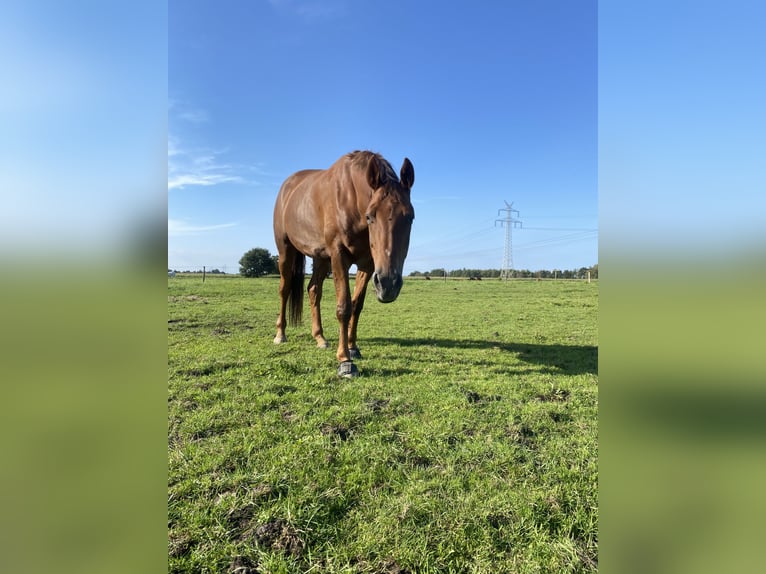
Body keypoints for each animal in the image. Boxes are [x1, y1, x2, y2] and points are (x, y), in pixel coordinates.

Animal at [270, 151, 414, 380]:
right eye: (370, 216)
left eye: (410, 217)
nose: (388, 284)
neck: (352, 200)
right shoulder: (339, 256)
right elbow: (344, 307)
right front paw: (345, 360)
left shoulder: (368, 264)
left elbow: (357, 305)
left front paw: (353, 347)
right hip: (286, 250)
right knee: (284, 290)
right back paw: (280, 334)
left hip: (320, 257)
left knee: (313, 290)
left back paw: (320, 338)